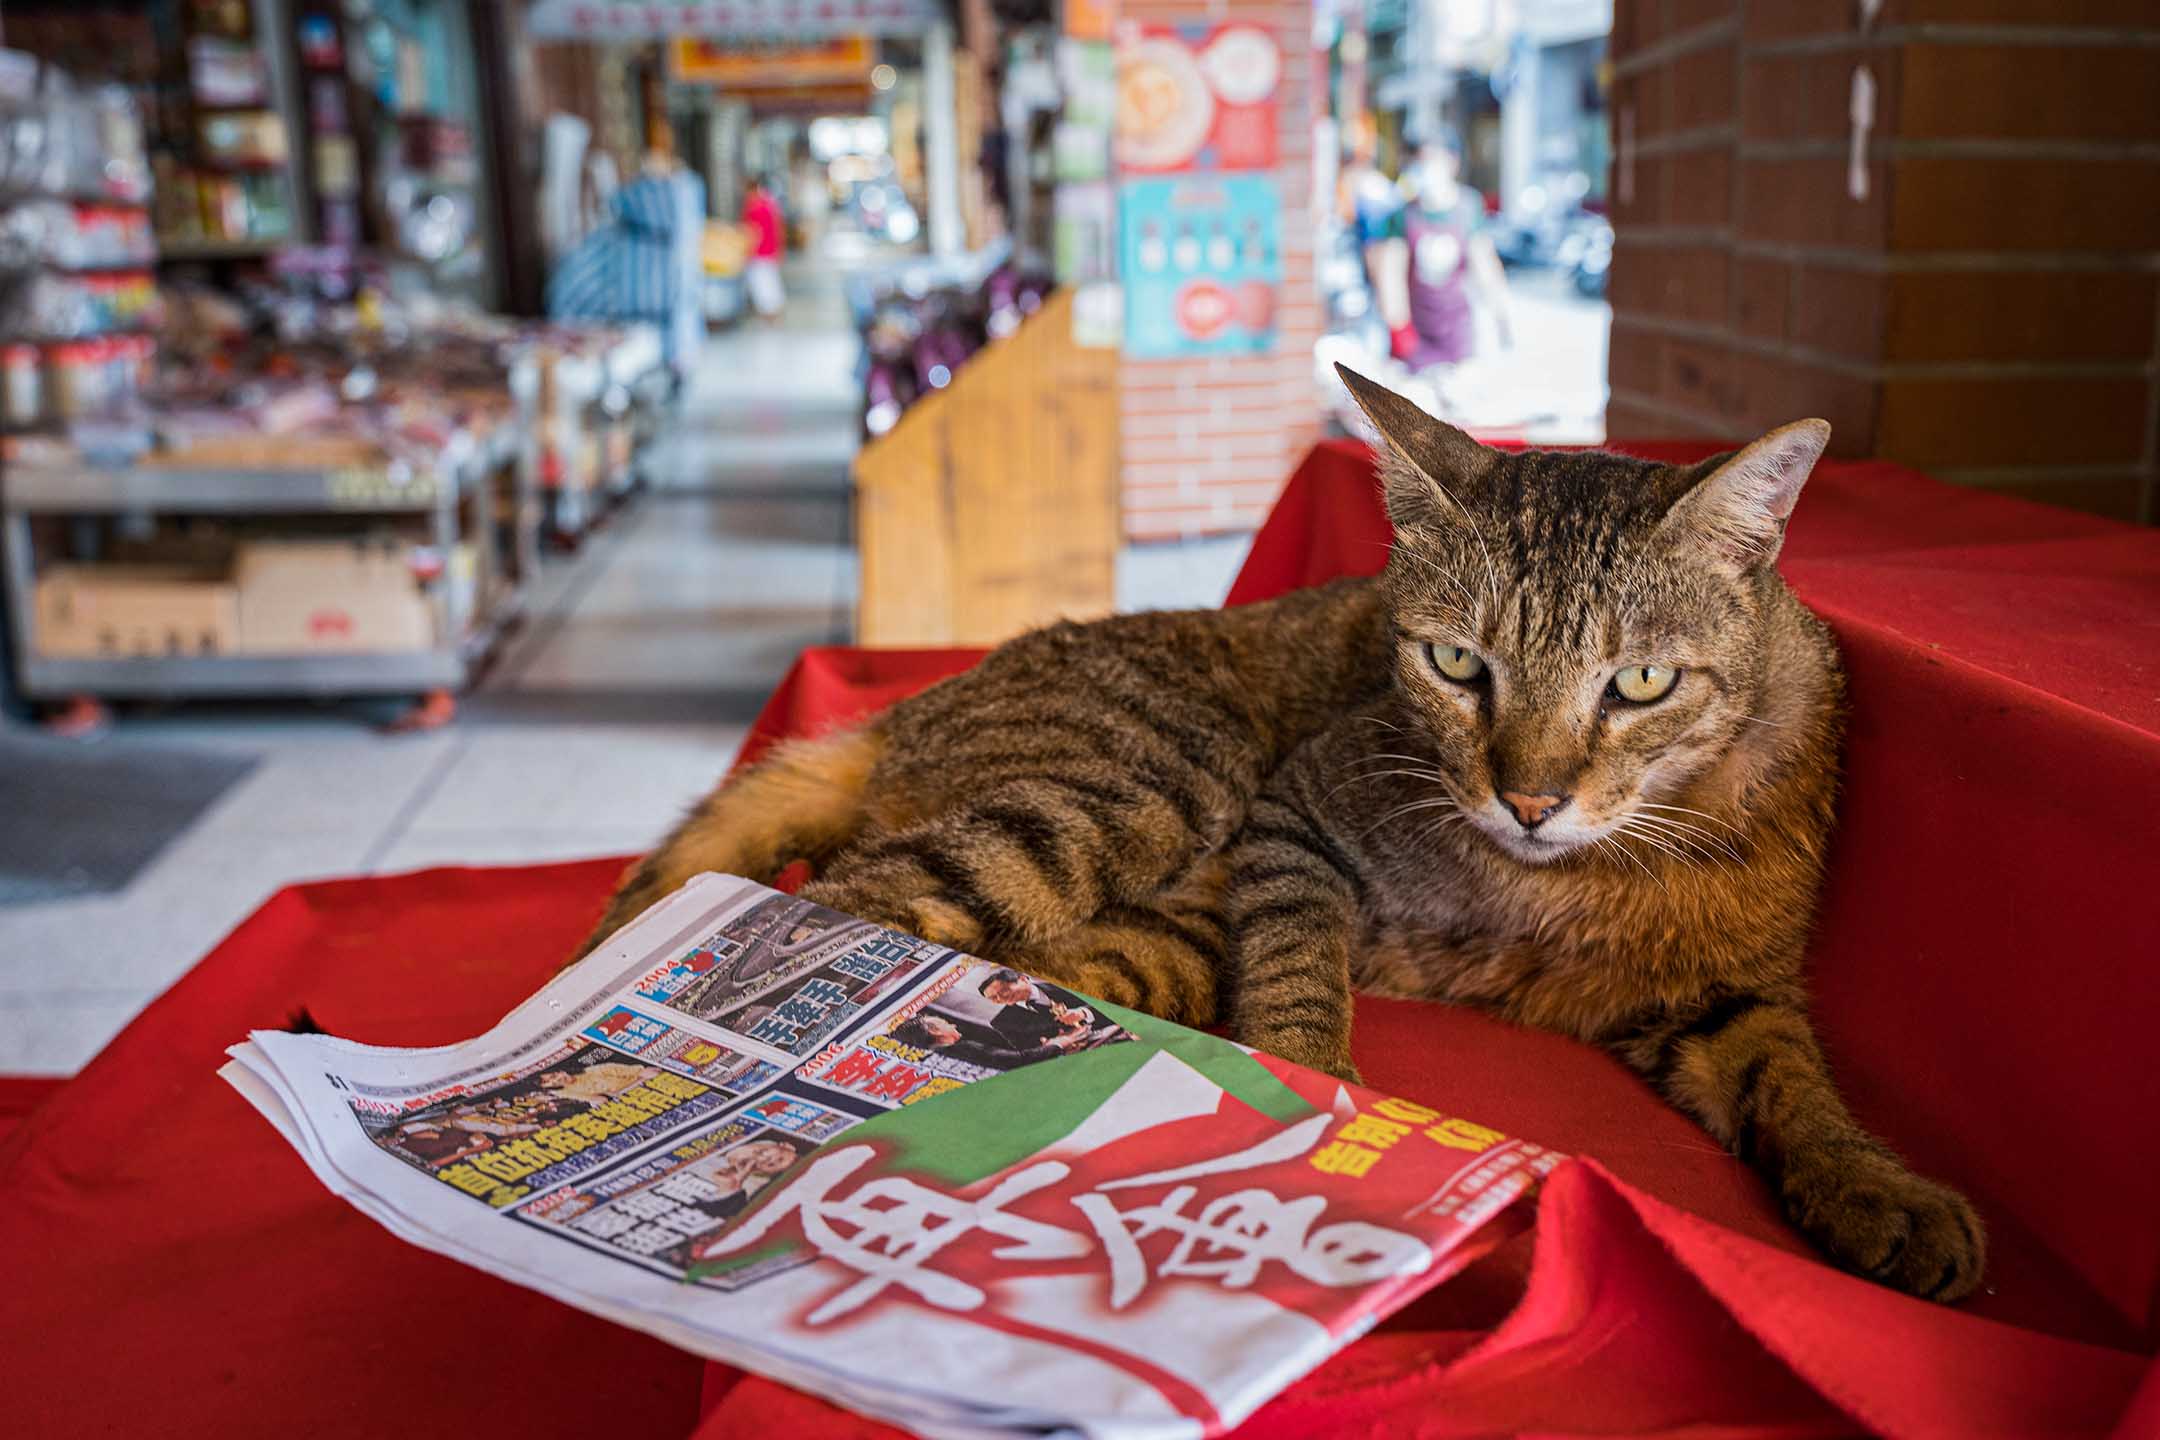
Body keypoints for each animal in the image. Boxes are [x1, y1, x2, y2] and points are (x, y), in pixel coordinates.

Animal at [578, 367, 1987, 1303]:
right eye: (1456, 665)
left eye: (1639, 685)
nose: (1529, 798)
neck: (1565, 877)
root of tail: (912, 706)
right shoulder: (1292, 821)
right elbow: (1306, 975)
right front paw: (1319, 1097)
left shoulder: (1721, 989)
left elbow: (1795, 1087)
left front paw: (1885, 1193)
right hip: (1157, 781)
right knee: (850, 895)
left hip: (1162, 928)